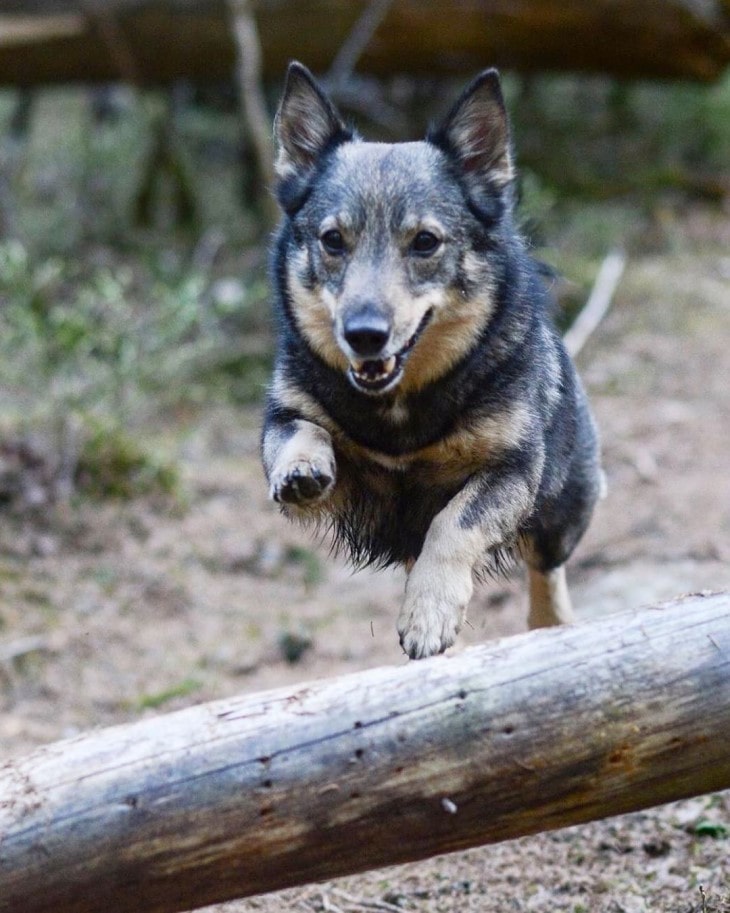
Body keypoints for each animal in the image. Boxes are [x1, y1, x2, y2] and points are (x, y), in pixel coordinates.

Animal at [258, 64, 600, 660]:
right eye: (332, 240)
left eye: (424, 242)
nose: (364, 336)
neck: (400, 410)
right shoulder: (298, 428)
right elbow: (303, 430)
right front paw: (301, 467)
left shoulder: (511, 470)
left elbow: (453, 524)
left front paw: (429, 611)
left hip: (564, 507)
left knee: (547, 567)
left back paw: (550, 624)